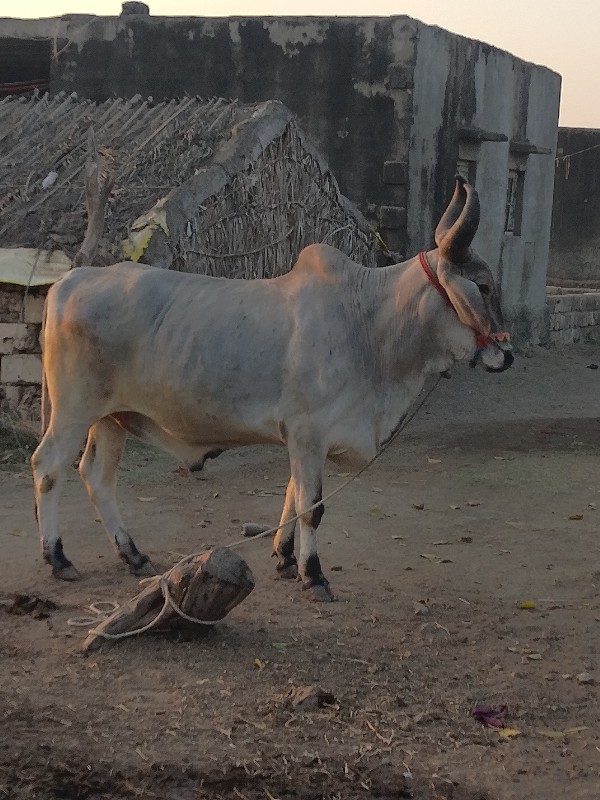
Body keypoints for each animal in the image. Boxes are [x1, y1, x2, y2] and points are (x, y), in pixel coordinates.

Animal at [31, 177, 510, 600]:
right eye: (483, 286)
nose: (505, 355)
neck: (367, 321)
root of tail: (69, 281)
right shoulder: (308, 433)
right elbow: (311, 507)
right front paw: (314, 576)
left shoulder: (301, 438)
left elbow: (291, 494)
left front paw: (284, 557)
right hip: (74, 410)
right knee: (48, 466)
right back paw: (58, 558)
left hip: (112, 418)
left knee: (97, 478)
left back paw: (133, 555)